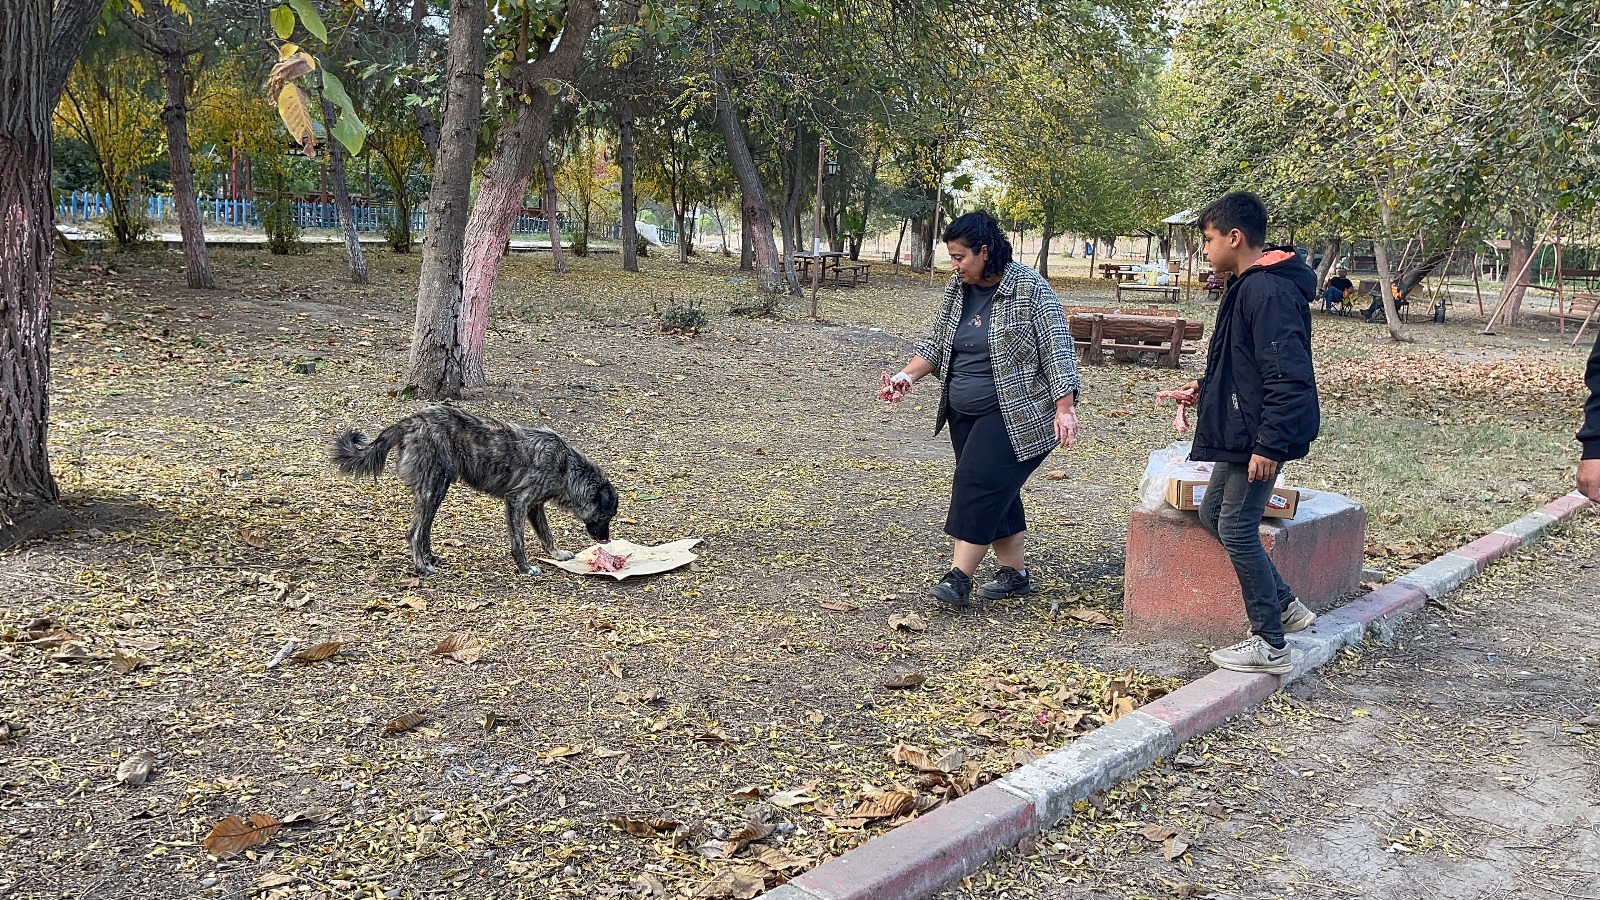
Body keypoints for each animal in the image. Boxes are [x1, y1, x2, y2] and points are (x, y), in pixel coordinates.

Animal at [331, 406, 617, 573]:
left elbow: (546, 535)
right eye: (606, 516)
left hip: (436, 491)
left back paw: (430, 558)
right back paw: (422, 567)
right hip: (434, 489)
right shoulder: (517, 501)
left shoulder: (535, 506)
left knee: (424, 531)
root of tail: (412, 421)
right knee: (414, 533)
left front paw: (557, 554)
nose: (605, 540)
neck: (566, 466)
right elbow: (519, 542)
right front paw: (525, 568)